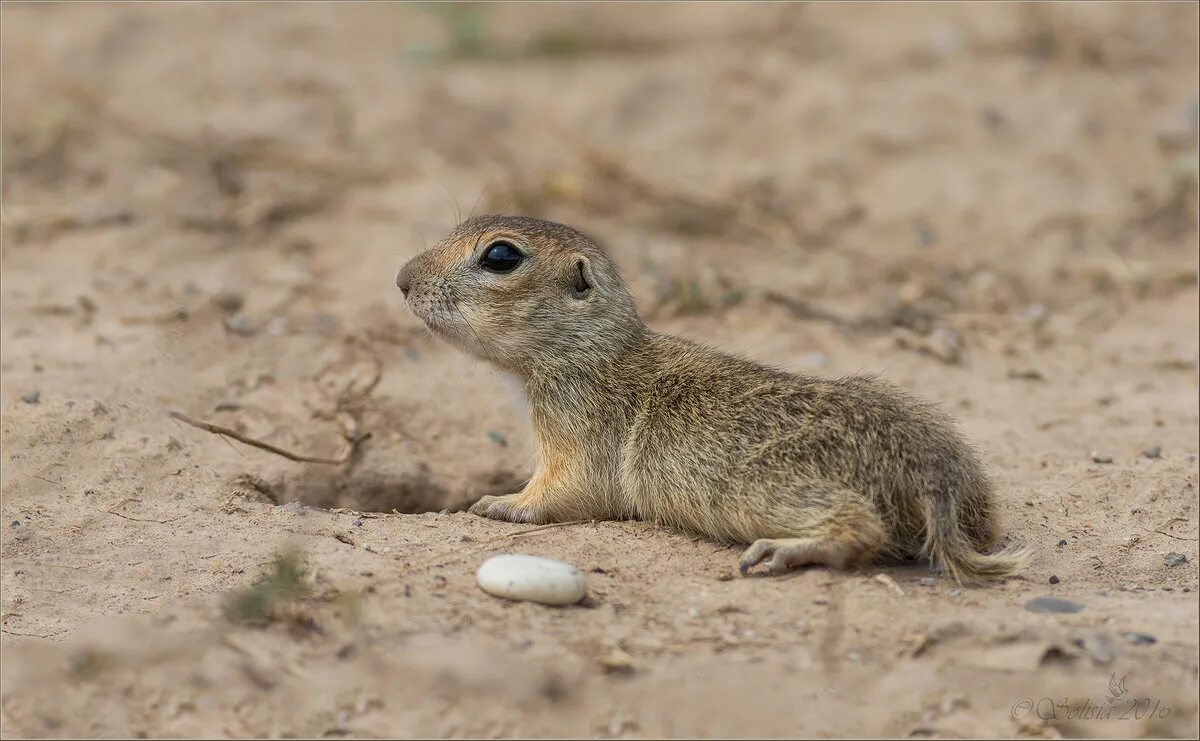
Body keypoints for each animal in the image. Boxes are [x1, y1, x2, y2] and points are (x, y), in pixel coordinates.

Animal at [398, 213, 1027, 582]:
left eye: (500, 256)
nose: (402, 279)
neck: (590, 350)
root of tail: (936, 477)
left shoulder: (575, 431)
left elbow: (563, 491)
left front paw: (499, 502)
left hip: (773, 489)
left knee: (862, 529)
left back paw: (781, 552)